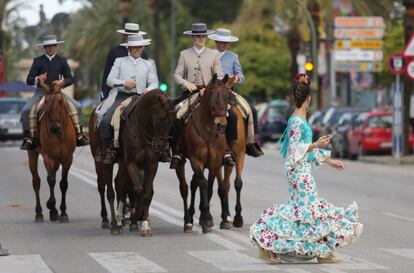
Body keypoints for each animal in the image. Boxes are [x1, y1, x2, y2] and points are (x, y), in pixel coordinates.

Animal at [27, 79, 76, 222]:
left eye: (60, 100)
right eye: (46, 102)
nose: (54, 127)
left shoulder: (68, 158)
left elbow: (63, 184)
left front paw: (63, 213)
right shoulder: (48, 157)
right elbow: (51, 180)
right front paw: (51, 206)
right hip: (32, 154)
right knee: (36, 181)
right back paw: (39, 213)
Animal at [174, 74, 234, 232]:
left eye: (227, 98)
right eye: (212, 102)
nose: (221, 125)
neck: (208, 131)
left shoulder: (214, 162)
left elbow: (210, 187)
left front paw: (205, 217)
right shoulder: (196, 161)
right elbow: (204, 184)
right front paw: (206, 218)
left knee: (195, 184)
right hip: (180, 162)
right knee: (184, 188)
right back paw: (188, 221)